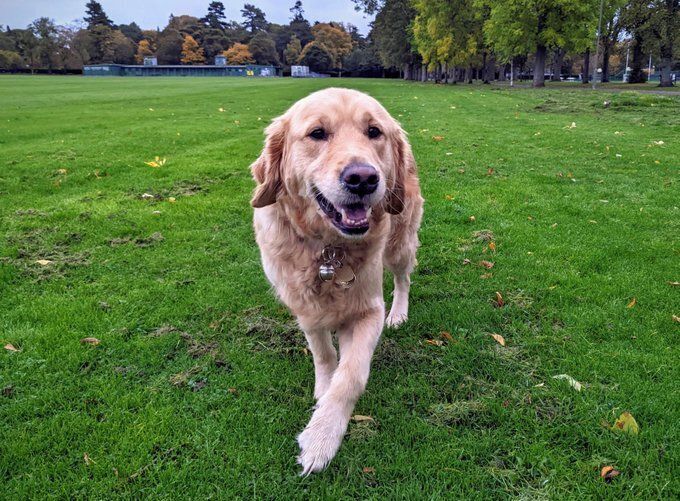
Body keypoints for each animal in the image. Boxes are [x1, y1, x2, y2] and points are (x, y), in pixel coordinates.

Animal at [250, 87, 422, 472]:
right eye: (317, 133)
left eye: (374, 132)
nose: (363, 179)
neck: (329, 251)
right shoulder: (305, 309)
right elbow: (324, 354)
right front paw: (323, 389)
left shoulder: (368, 310)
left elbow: (351, 375)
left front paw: (321, 437)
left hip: (399, 242)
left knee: (403, 278)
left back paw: (400, 313)